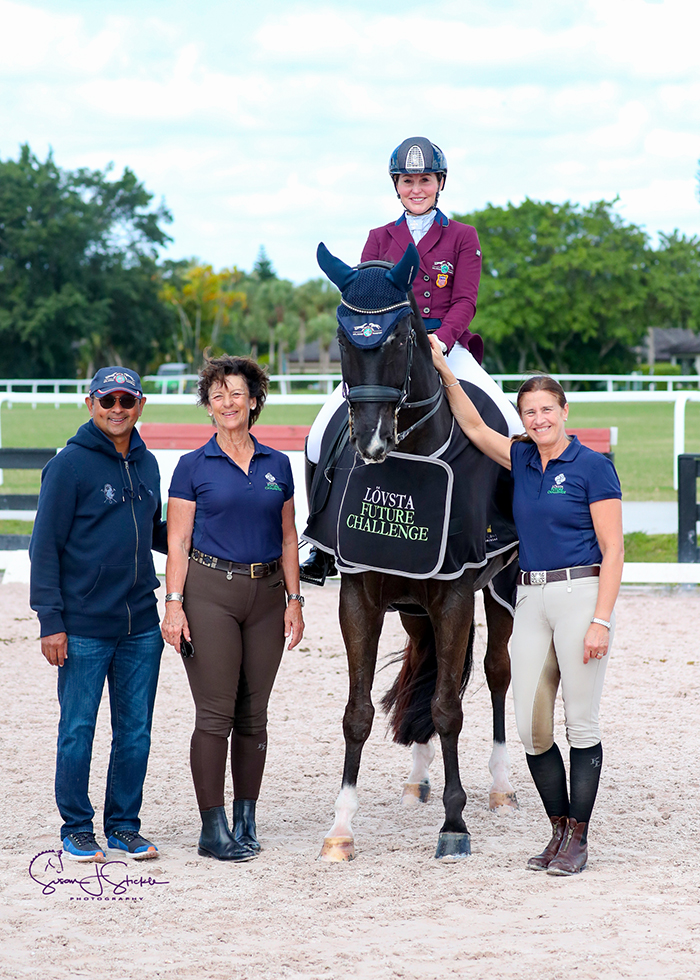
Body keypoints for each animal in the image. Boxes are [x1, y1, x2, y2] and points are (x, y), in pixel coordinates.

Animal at [312, 243, 520, 856]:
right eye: (342, 337)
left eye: (402, 335)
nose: (371, 440)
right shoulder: (360, 593)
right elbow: (357, 712)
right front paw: (341, 828)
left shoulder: (454, 594)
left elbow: (449, 707)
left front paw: (455, 825)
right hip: (412, 609)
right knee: (425, 670)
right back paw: (419, 777)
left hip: (500, 588)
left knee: (497, 674)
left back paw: (500, 787)